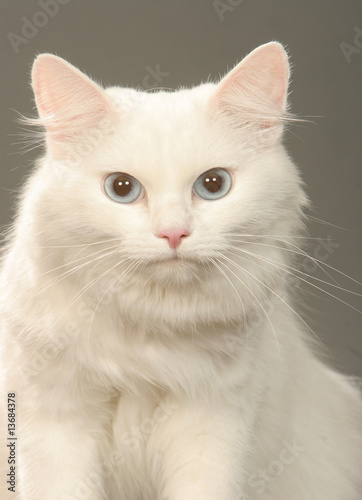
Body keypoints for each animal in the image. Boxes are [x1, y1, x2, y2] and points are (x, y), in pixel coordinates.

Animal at [0, 43, 362, 500]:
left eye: (213, 184)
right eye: (121, 188)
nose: (173, 233)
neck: (149, 332)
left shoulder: (213, 426)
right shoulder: (53, 421)